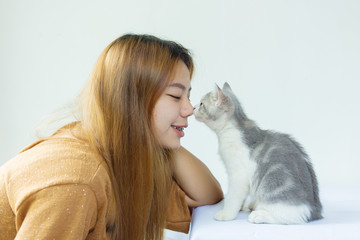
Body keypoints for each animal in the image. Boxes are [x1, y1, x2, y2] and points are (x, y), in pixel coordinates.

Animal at [195, 82, 322, 223]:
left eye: (201, 104)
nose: (193, 107)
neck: (229, 131)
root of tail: (314, 211)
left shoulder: (238, 175)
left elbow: (233, 196)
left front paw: (227, 213)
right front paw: (240, 208)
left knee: (289, 216)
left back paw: (259, 214)